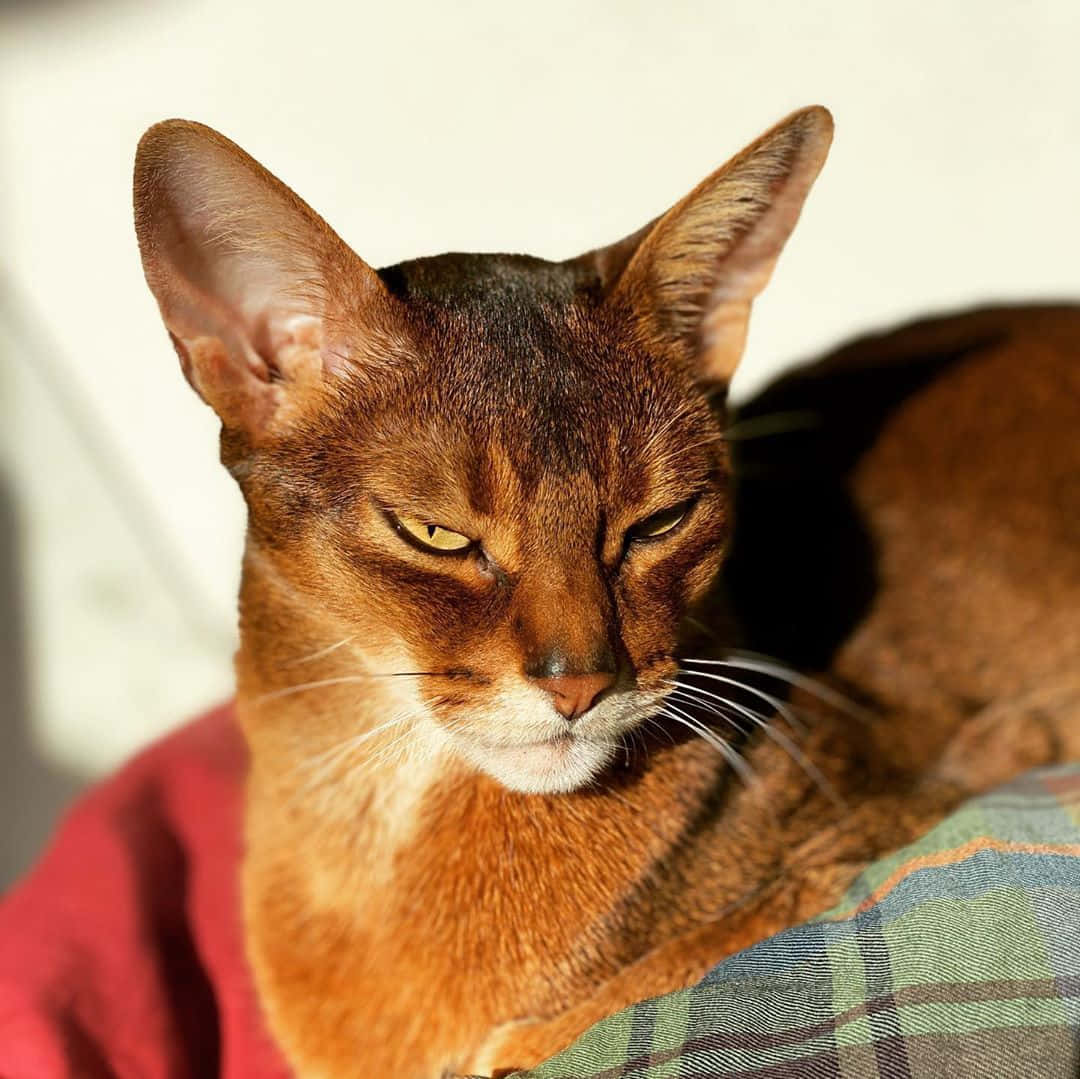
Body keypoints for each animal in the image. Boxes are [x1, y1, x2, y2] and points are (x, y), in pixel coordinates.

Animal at [130, 103, 1075, 1079]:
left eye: (659, 521)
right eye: (438, 534)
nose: (580, 682)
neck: (368, 837)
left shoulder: (921, 790)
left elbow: (614, 994)